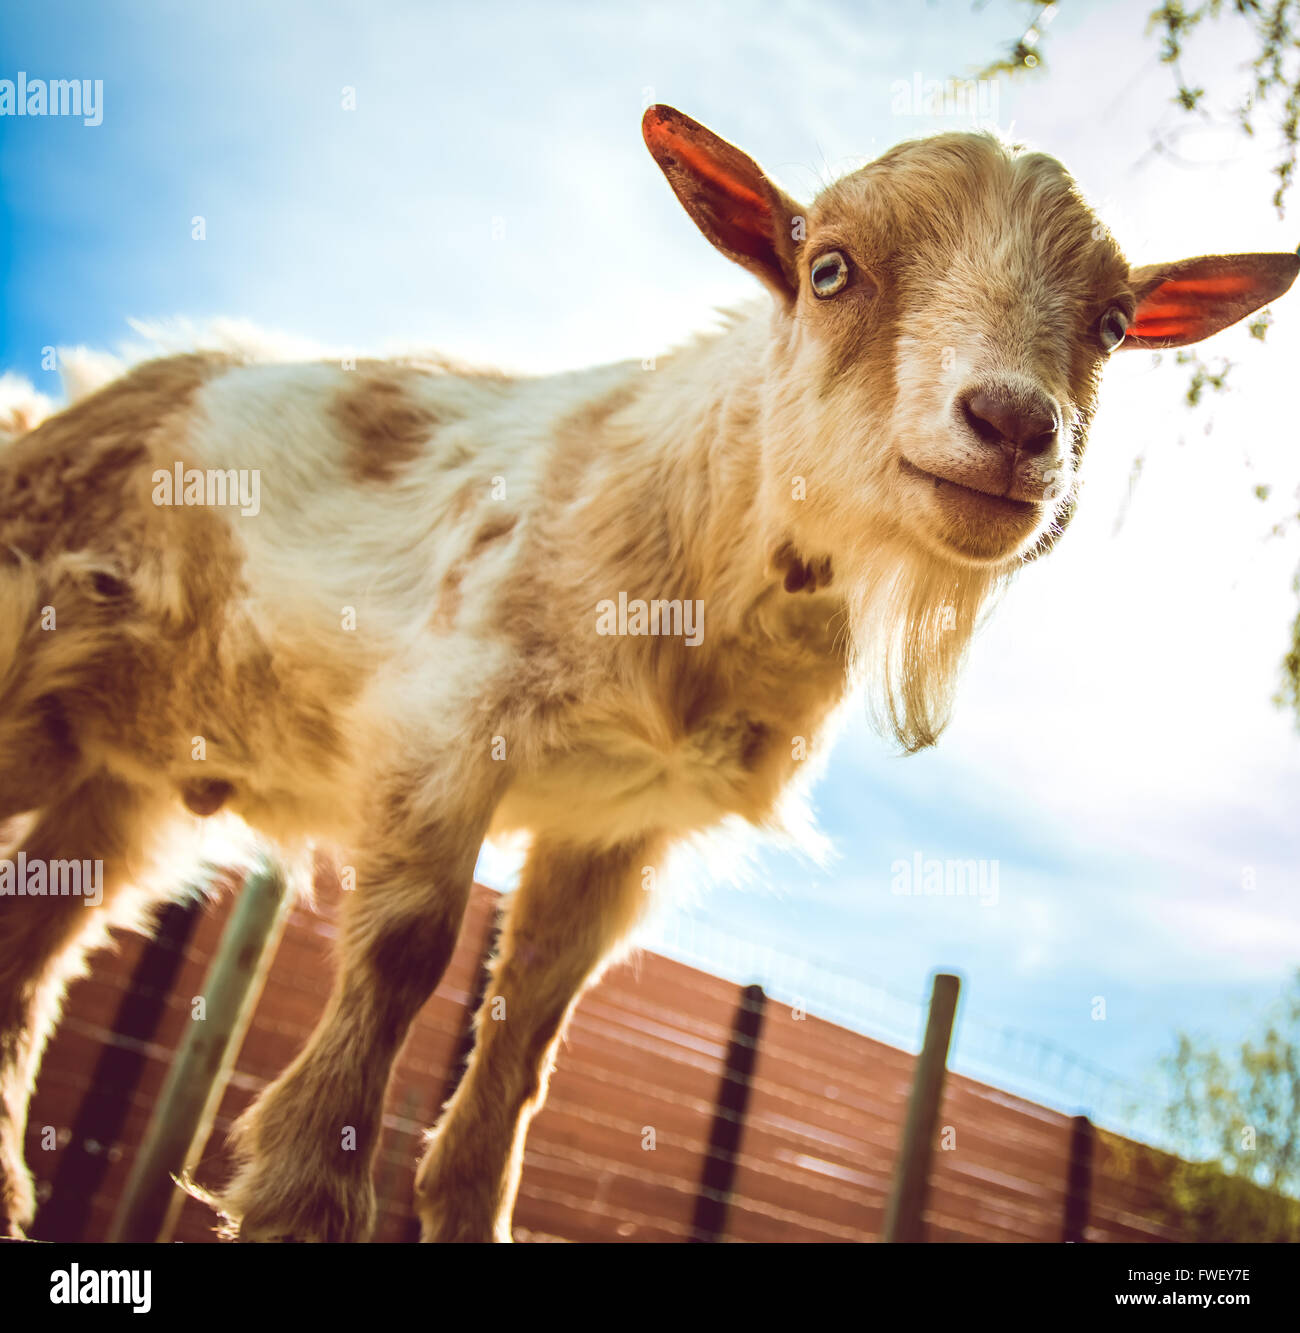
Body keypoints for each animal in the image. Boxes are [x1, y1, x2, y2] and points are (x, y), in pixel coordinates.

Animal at [0, 109, 1296, 1242]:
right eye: (828, 269)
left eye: (1116, 323)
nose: (1016, 426)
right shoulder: (451, 720)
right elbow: (410, 950)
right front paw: (301, 1202)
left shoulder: (617, 825)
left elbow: (529, 1037)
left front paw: (467, 1207)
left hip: (115, 772)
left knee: (35, 944)